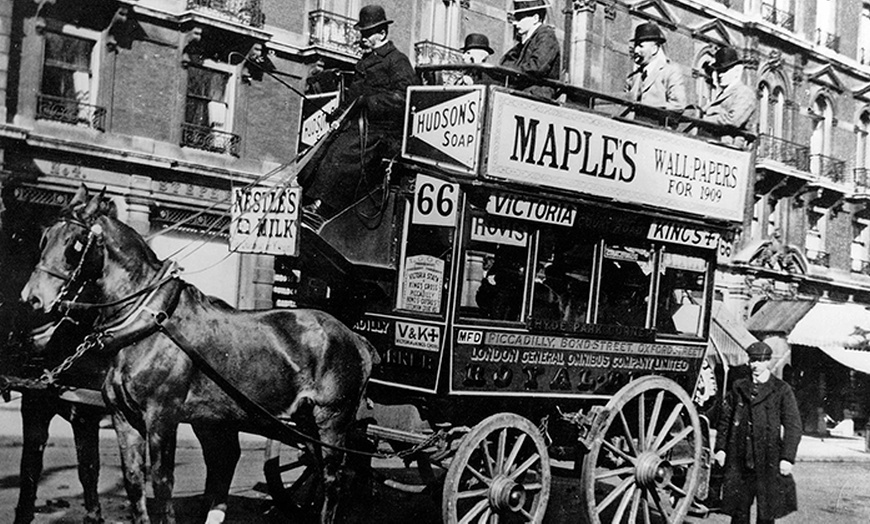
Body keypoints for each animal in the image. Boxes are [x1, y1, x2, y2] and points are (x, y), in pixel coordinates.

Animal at [18, 186, 376, 520]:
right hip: (302, 423)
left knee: (332, 479)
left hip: (331, 420)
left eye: (75, 244)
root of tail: (356, 338)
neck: (147, 323)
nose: (32, 298)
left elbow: (162, 485)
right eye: (45, 238)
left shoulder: (162, 417)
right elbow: (133, 484)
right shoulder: (123, 418)